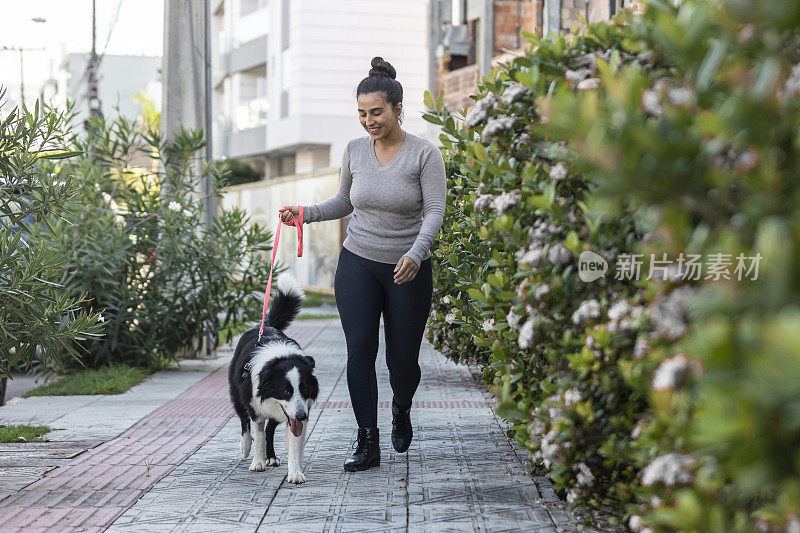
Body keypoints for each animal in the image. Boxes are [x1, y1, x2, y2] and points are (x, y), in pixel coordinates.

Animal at [228, 274, 318, 482]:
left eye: (305, 388)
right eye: (285, 390)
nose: (302, 416)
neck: (281, 358)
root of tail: (265, 325)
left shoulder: (299, 409)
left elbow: (294, 441)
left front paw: (295, 472)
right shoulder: (256, 404)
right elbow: (258, 432)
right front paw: (258, 462)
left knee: (270, 429)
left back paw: (272, 457)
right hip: (237, 392)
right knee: (244, 421)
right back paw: (246, 447)